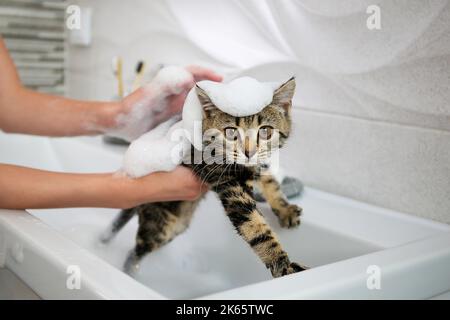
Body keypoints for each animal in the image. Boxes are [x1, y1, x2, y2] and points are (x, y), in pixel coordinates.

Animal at [101, 77, 306, 278]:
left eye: (265, 131)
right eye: (231, 132)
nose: (249, 152)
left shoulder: (254, 165)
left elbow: (270, 181)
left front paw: (285, 209)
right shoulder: (226, 180)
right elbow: (254, 225)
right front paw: (284, 265)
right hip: (163, 224)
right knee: (136, 251)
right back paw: (131, 273)